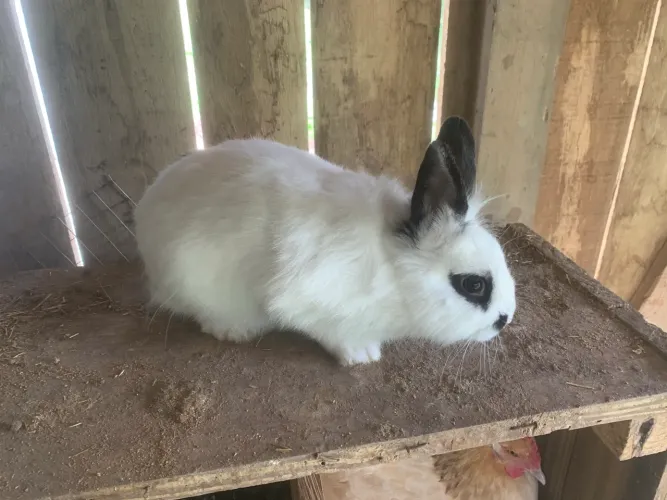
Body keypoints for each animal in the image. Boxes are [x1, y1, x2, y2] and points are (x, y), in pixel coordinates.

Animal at [134, 116, 516, 366]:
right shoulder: (311, 301)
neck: (394, 269)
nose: (505, 320)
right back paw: (234, 330)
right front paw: (363, 356)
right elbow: (331, 330)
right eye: (473, 285)